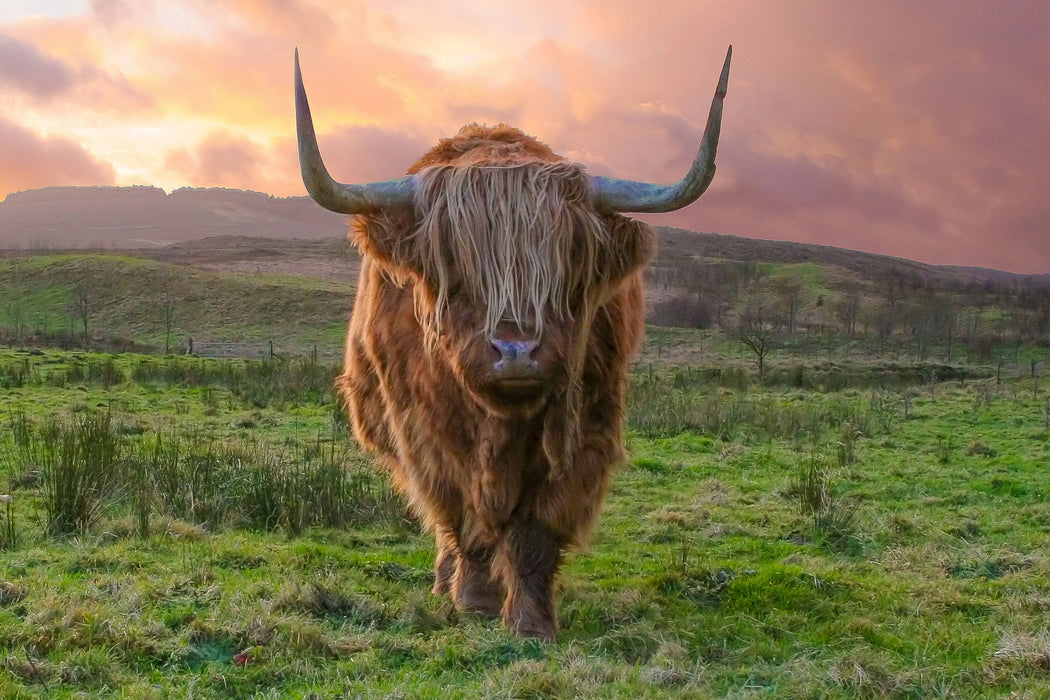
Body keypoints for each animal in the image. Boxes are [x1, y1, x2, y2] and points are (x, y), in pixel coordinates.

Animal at [294, 46, 730, 642]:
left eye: (567, 263)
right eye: (455, 268)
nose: (517, 352)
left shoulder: (585, 429)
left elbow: (537, 532)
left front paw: (531, 622)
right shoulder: (427, 435)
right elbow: (465, 518)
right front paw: (475, 599)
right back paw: (446, 582)